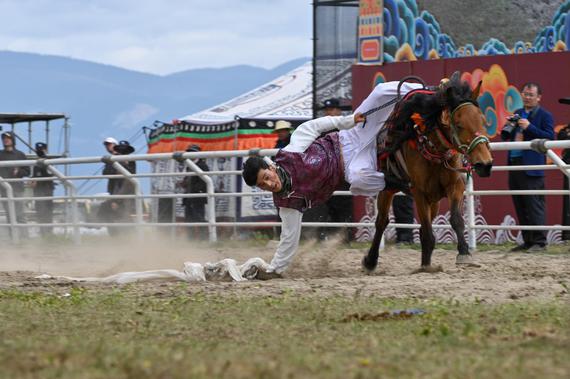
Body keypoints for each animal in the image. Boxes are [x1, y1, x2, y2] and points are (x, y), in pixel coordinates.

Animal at [364, 72, 492, 274]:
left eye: (483, 121)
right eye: (459, 124)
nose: (485, 164)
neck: (435, 150)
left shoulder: (455, 186)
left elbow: (455, 219)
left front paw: (464, 253)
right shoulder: (419, 192)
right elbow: (427, 231)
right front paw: (427, 266)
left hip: (434, 200)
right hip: (387, 188)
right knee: (382, 222)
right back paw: (371, 260)